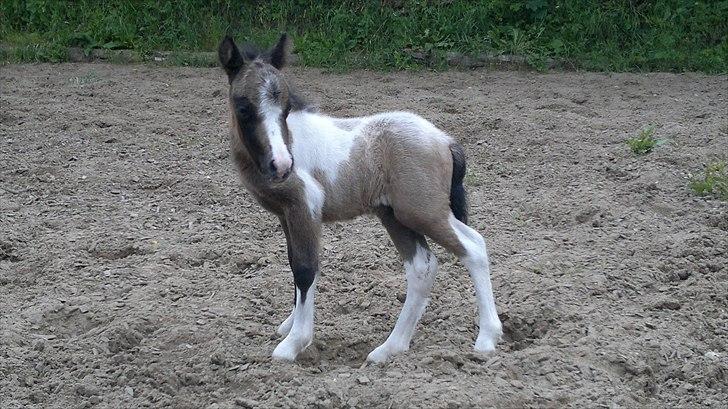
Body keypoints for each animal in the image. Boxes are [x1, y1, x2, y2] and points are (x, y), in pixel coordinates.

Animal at [216, 33, 500, 362]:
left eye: (285, 108)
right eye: (243, 107)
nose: (282, 165)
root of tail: (444, 140)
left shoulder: (305, 208)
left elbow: (305, 269)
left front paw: (294, 342)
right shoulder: (286, 215)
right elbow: (293, 263)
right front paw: (289, 325)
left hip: (423, 212)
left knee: (473, 247)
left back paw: (486, 339)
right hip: (397, 216)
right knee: (422, 266)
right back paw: (390, 348)